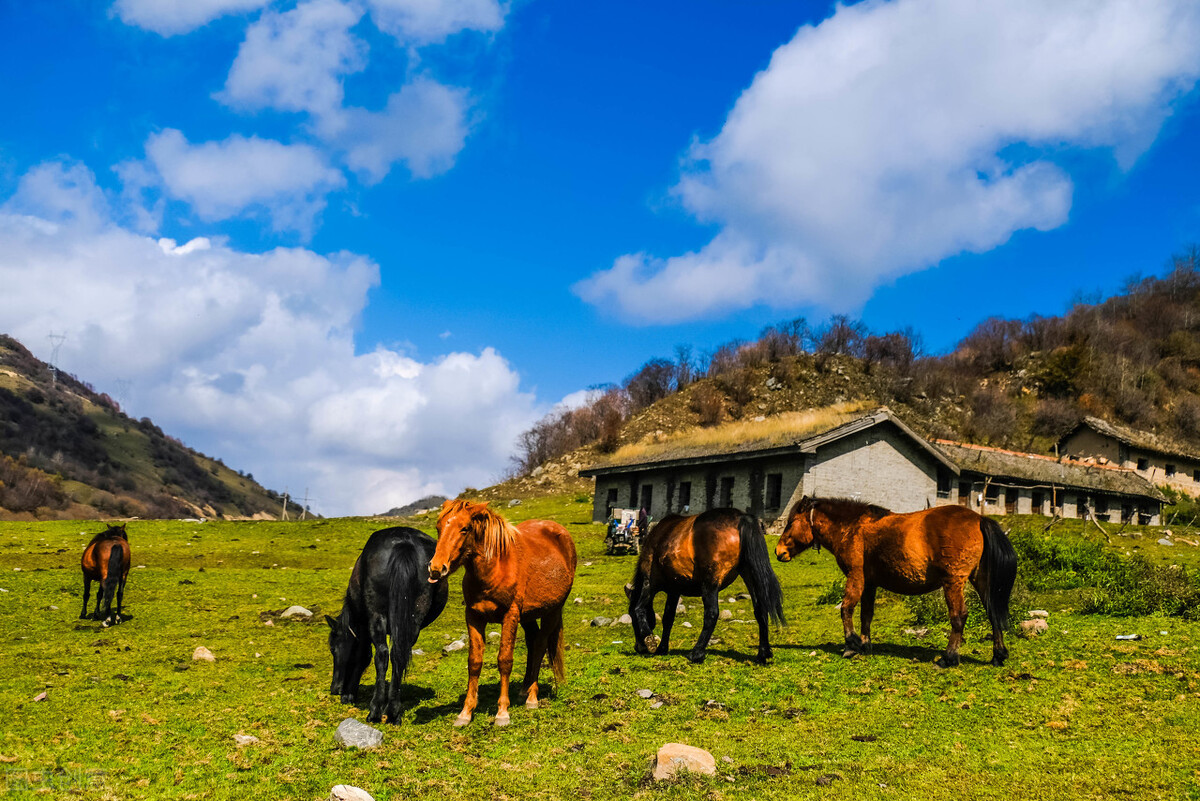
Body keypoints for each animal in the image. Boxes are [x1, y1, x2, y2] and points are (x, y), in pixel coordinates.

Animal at [429, 503, 578, 729]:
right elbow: (474, 662)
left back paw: (532, 698)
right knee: (533, 642)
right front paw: (465, 713)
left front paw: (502, 713)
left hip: (552, 611)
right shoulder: (473, 617)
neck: (495, 567)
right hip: (529, 616)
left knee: (540, 644)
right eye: (438, 527)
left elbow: (505, 661)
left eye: (465, 529)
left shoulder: (510, 615)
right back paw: (525, 689)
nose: (436, 569)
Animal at [628, 510, 787, 666]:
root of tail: (742, 517)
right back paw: (763, 653)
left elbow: (639, 608)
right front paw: (662, 648)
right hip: (749, 574)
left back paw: (696, 653)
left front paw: (650, 639)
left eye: (631, 619)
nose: (638, 647)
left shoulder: (650, 582)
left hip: (710, 582)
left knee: (711, 613)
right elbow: (668, 617)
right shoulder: (674, 590)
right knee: (760, 609)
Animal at [772, 496, 1017, 666]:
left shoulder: (856, 576)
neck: (853, 528)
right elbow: (866, 615)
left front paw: (851, 645)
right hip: (980, 580)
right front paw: (865, 644)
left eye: (791, 522)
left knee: (958, 616)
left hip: (953, 583)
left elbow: (846, 609)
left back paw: (949, 658)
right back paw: (998, 655)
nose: (778, 551)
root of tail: (979, 519)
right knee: (993, 612)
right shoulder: (870, 583)